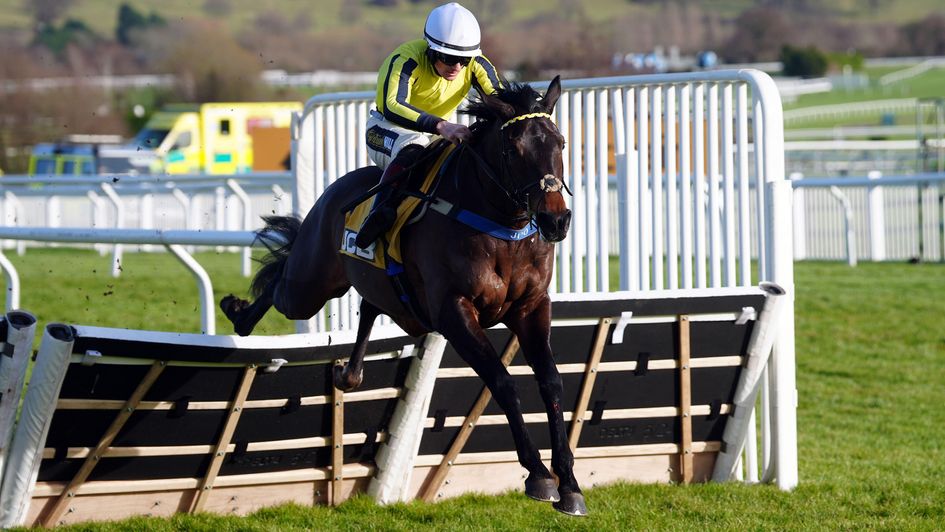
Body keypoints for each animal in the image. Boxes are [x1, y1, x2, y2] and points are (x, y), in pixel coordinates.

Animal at [224, 76, 588, 516]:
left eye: (561, 143)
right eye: (514, 148)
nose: (556, 219)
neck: (500, 226)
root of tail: (335, 190)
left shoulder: (531, 307)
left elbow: (551, 382)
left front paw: (569, 484)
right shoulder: (454, 311)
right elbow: (501, 381)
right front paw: (538, 474)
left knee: (369, 304)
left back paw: (349, 373)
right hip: (310, 285)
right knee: (282, 281)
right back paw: (239, 313)